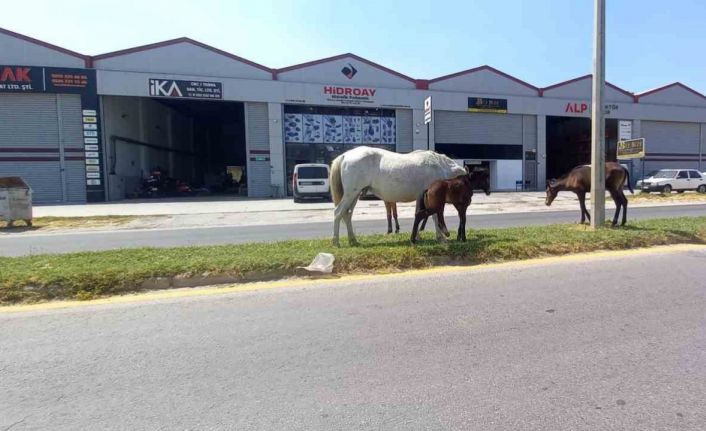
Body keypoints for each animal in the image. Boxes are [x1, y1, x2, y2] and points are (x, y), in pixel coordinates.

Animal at [330, 147, 468, 246]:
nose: (467, 203)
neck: (439, 166)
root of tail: (345, 155)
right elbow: (434, 217)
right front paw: (441, 237)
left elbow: (420, 215)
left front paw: (417, 236)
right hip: (351, 194)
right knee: (338, 213)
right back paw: (336, 242)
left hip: (355, 195)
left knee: (347, 214)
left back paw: (352, 240)